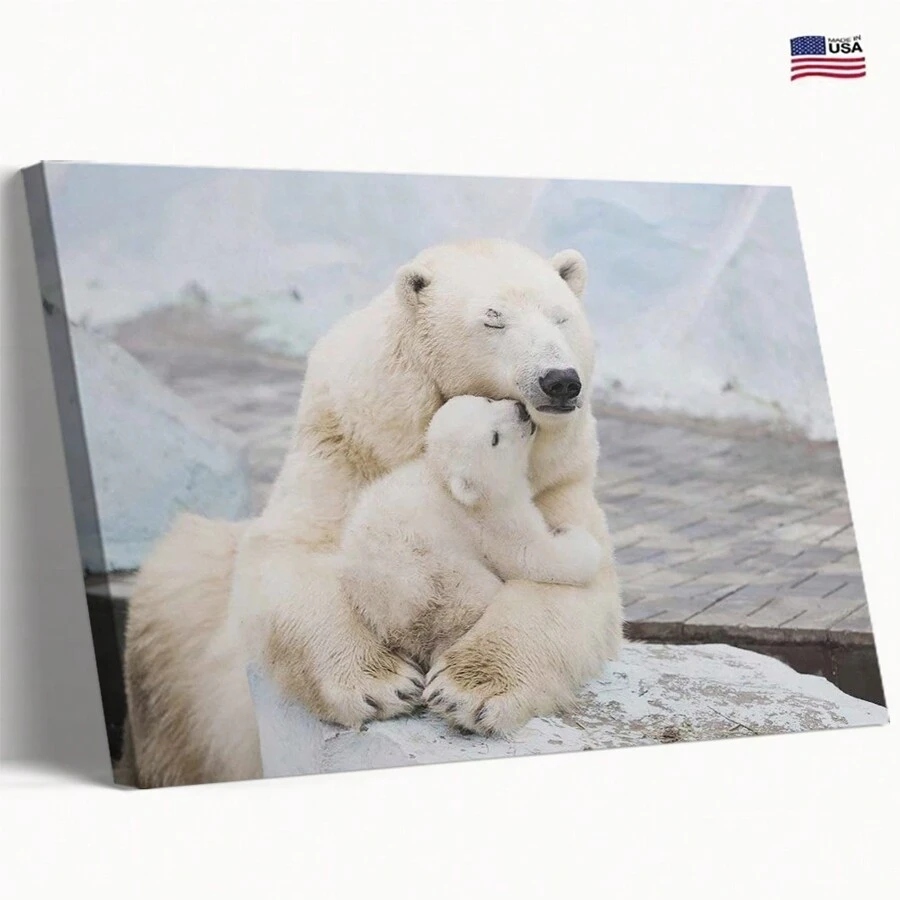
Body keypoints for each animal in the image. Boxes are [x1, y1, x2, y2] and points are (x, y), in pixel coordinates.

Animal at [340, 394, 607, 714]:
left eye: (489, 400)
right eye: (494, 438)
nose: (520, 410)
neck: (445, 481)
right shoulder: (491, 518)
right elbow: (530, 556)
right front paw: (573, 536)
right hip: (444, 580)